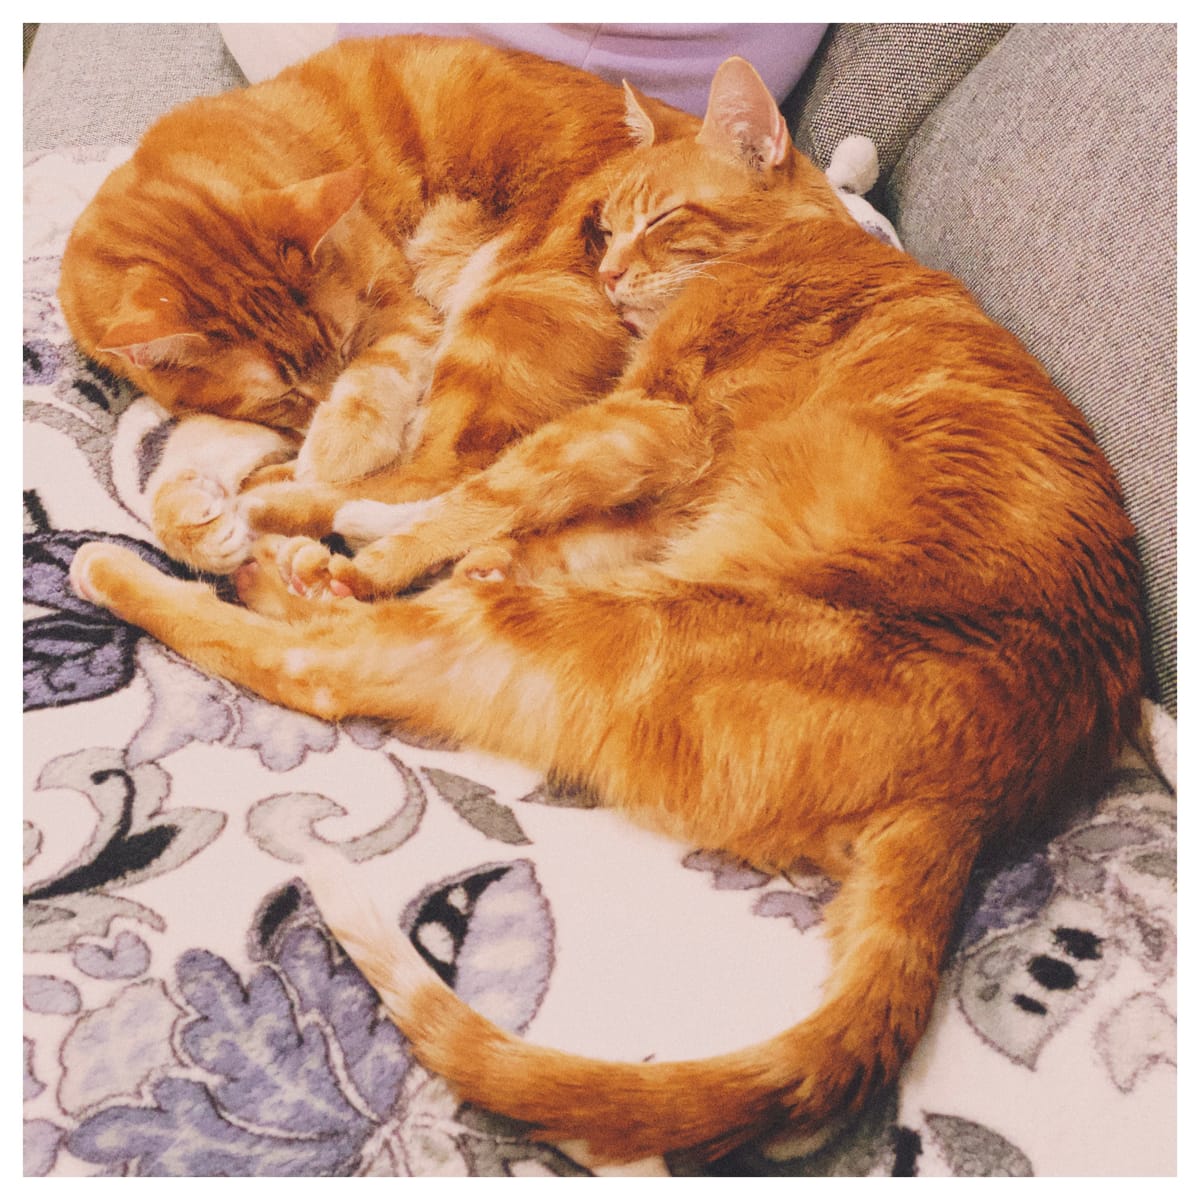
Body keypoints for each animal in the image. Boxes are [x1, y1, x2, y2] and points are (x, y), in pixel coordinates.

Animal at [56, 32, 696, 566]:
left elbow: (374, 377)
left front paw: (338, 442)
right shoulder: (235, 411)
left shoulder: (402, 308)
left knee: (450, 473)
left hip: (501, 305)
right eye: (284, 394)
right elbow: (193, 447)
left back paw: (283, 499)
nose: (313, 414)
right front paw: (196, 522)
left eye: (344, 343)